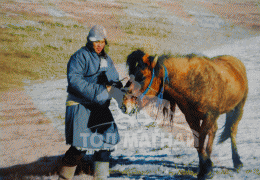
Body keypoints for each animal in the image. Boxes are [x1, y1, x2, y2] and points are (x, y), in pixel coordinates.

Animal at [121, 49, 248, 180]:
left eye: (142, 77)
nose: (125, 105)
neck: (194, 84)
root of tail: (236, 62)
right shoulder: (192, 118)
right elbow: (198, 143)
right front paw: (205, 167)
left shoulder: (208, 116)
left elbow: (201, 140)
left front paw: (206, 170)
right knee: (214, 131)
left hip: (238, 108)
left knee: (232, 131)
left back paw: (237, 162)